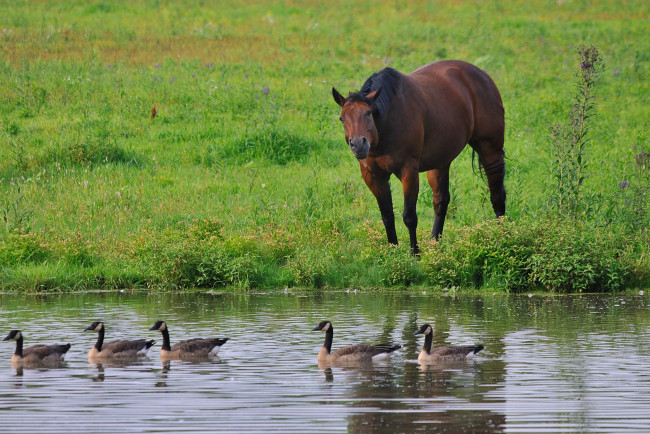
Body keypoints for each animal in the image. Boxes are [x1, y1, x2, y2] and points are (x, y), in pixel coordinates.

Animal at [334, 59, 506, 253]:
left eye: (368, 113)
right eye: (342, 118)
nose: (358, 145)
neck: (387, 122)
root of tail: (482, 75)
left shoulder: (408, 171)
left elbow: (409, 216)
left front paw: (414, 253)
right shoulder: (373, 176)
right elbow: (387, 216)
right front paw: (392, 252)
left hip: (490, 150)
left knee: (497, 195)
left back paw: (502, 236)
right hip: (440, 161)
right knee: (441, 200)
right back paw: (434, 244)